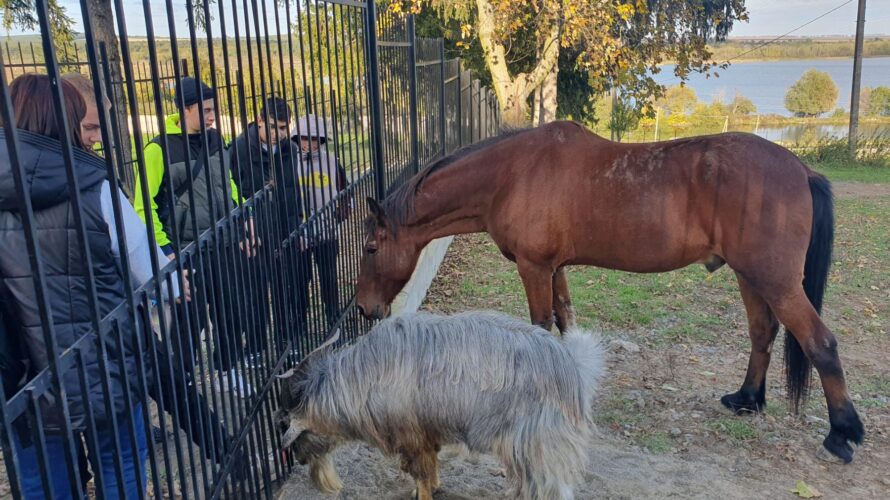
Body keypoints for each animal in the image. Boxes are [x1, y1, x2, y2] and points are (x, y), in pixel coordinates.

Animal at [276, 310, 604, 498]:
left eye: (285, 424)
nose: (301, 462)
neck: (357, 380)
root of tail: (574, 368)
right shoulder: (427, 433)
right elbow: (430, 466)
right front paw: (434, 486)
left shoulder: (411, 436)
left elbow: (421, 474)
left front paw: (424, 492)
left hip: (538, 447)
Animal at [354, 120, 860, 460]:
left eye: (371, 247)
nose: (363, 308)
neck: (512, 174)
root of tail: (801, 169)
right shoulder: (554, 268)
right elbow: (564, 320)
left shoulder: (535, 269)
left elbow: (541, 327)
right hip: (750, 277)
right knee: (762, 333)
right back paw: (747, 400)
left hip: (775, 281)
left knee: (820, 342)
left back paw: (842, 432)